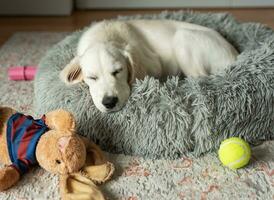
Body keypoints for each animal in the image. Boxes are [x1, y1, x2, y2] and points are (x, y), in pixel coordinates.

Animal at [59, 19, 238, 113]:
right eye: (92, 77)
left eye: (118, 71)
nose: (109, 102)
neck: (104, 36)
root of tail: (234, 54)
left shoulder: (154, 63)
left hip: (182, 38)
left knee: (199, 79)